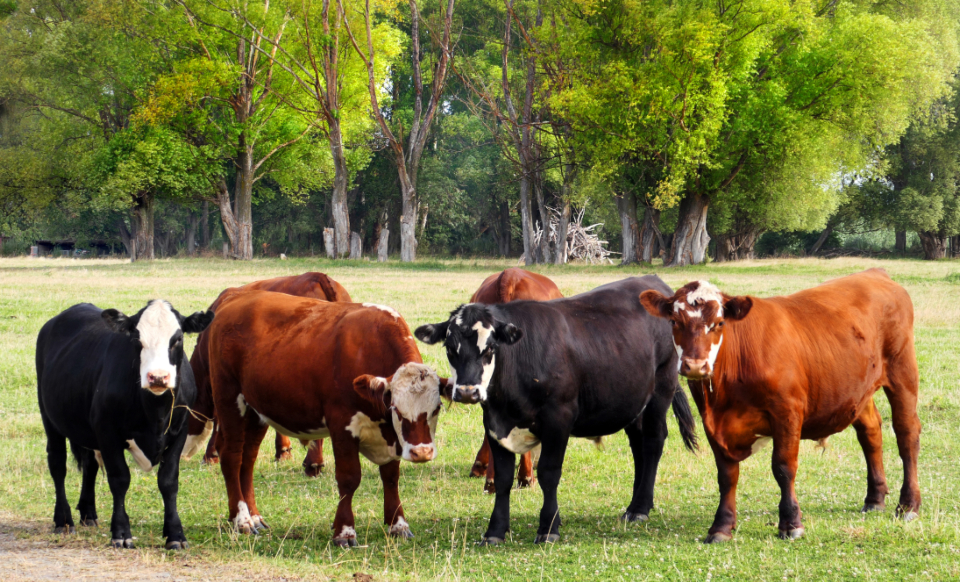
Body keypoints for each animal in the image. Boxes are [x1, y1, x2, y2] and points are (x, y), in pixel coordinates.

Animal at [36, 301, 214, 549]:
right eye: (137, 339)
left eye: (178, 338)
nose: (158, 377)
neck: (155, 413)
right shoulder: (107, 432)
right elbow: (120, 479)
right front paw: (121, 532)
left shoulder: (180, 431)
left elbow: (168, 481)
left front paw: (175, 534)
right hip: (50, 419)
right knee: (58, 465)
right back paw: (63, 520)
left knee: (89, 465)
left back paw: (88, 514)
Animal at [205, 290, 451, 547]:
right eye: (396, 409)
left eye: (437, 408)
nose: (422, 452)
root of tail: (239, 295)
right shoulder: (342, 426)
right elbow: (349, 478)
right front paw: (344, 532)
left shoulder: (391, 437)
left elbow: (391, 477)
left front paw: (398, 524)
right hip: (228, 399)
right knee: (232, 457)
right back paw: (241, 520)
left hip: (256, 411)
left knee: (248, 460)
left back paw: (254, 516)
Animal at [638, 269, 921, 543]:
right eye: (674, 322)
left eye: (719, 323)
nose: (695, 365)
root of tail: (876, 273)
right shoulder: (712, 423)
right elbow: (726, 475)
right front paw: (721, 526)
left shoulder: (787, 411)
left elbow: (783, 467)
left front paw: (791, 523)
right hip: (858, 391)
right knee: (871, 433)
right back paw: (875, 499)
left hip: (902, 371)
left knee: (906, 434)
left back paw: (908, 505)